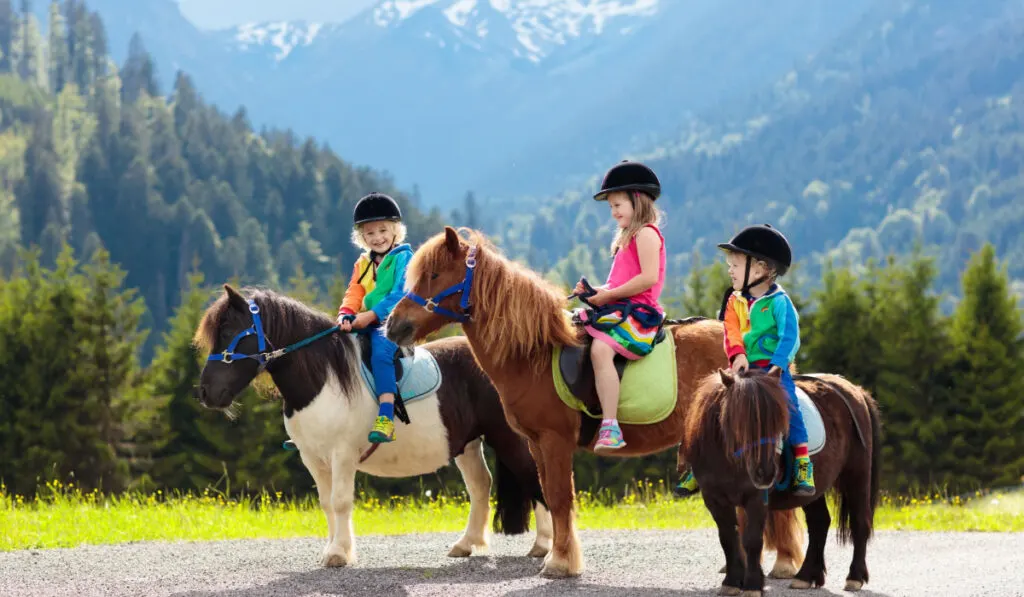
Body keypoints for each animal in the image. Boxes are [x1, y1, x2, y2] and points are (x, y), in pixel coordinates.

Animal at [387, 226, 802, 581]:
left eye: (435, 274)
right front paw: (559, 557)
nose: (394, 326)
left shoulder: (554, 440)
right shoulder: (536, 443)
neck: (534, 352)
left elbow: (559, 498)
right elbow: (551, 497)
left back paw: (783, 562)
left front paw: (560, 563)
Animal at [679, 370, 880, 593]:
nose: (765, 473)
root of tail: (856, 391)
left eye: (779, 422)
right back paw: (806, 576)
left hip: (857, 476)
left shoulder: (756, 498)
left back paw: (854, 577)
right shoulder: (714, 499)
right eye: (738, 420)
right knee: (819, 522)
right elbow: (728, 538)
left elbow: (752, 540)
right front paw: (732, 582)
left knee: (860, 522)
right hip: (814, 489)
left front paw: (752, 585)